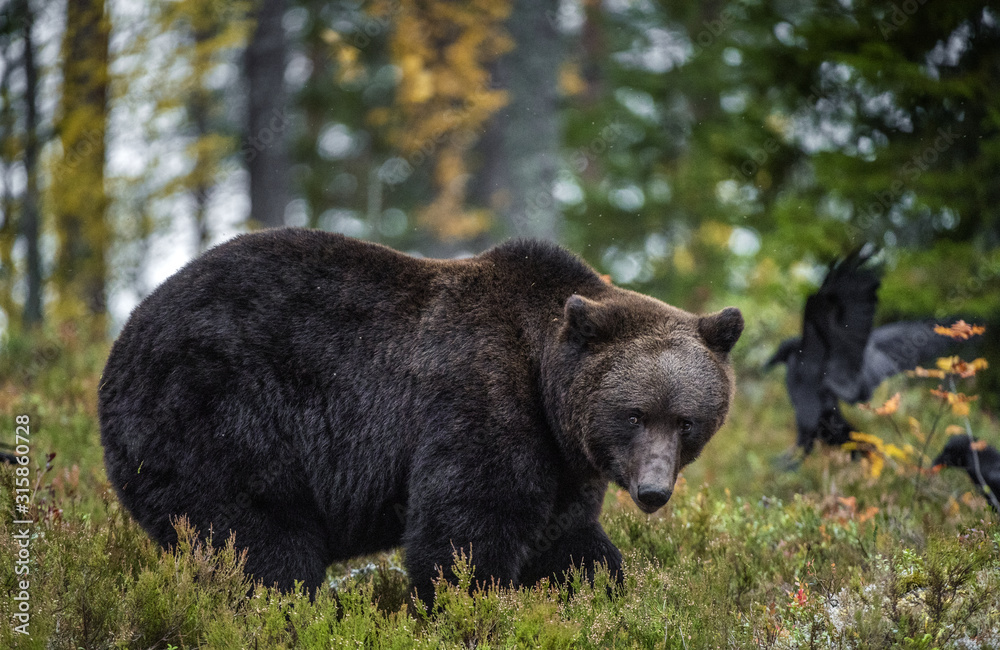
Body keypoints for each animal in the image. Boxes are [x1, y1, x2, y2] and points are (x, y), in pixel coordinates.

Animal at [98, 228, 743, 606]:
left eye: (685, 421)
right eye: (634, 415)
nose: (653, 490)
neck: (544, 381)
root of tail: (122, 342)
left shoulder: (562, 462)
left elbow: (568, 543)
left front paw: (602, 594)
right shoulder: (480, 401)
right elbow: (464, 536)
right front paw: (472, 607)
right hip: (219, 416)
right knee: (260, 546)